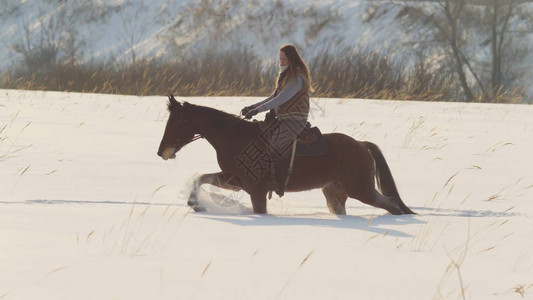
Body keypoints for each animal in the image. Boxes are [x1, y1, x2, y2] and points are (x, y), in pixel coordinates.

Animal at [156, 95, 414, 214]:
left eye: (178, 121)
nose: (161, 151)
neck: (237, 138)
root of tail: (361, 145)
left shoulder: (256, 191)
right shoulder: (235, 180)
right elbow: (201, 177)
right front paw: (194, 202)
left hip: (362, 190)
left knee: (392, 204)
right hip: (336, 194)